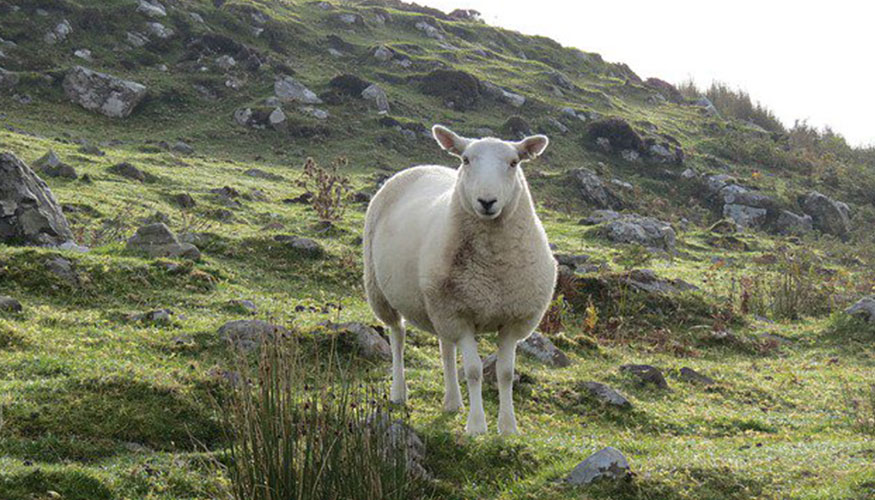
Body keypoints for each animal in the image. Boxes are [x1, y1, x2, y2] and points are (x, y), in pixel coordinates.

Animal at [364, 124, 556, 434]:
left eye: (514, 162)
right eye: (466, 160)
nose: (487, 201)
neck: (493, 268)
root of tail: (422, 166)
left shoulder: (511, 320)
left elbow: (505, 373)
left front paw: (508, 427)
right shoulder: (461, 315)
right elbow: (474, 371)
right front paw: (477, 426)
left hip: (438, 304)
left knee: (445, 350)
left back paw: (452, 402)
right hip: (383, 292)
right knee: (398, 337)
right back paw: (398, 392)